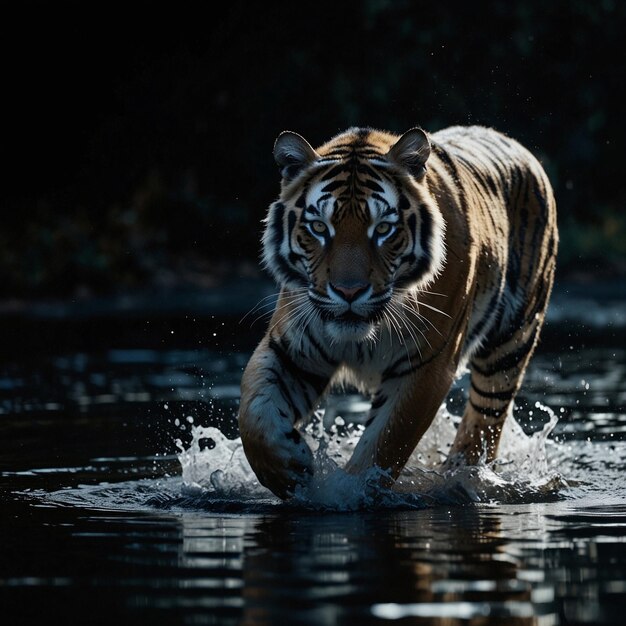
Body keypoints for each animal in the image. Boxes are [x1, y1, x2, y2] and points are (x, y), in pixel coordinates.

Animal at [235, 123, 556, 498]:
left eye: (383, 229)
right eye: (319, 228)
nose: (348, 291)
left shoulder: (427, 364)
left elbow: (385, 441)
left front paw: (350, 491)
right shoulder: (293, 347)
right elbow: (254, 412)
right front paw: (289, 468)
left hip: (510, 345)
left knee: (485, 421)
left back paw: (462, 474)